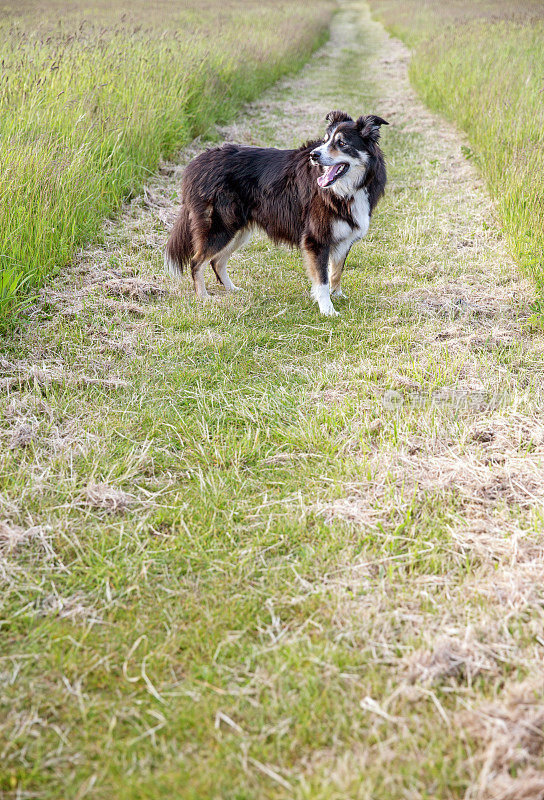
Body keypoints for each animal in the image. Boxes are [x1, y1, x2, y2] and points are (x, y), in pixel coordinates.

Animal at [165, 110, 386, 316]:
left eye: (341, 143)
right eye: (325, 141)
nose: (314, 155)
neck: (347, 190)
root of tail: (196, 163)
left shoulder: (343, 238)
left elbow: (336, 272)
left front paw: (337, 295)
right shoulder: (316, 239)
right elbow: (322, 278)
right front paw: (327, 308)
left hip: (238, 232)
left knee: (216, 261)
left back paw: (232, 289)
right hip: (220, 228)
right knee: (197, 262)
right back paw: (203, 297)